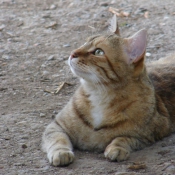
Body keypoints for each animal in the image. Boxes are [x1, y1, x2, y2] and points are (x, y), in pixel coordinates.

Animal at [42, 15, 175, 167]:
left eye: (98, 52)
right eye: (85, 42)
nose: (72, 53)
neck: (100, 95)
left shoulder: (149, 135)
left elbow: (125, 138)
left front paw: (117, 147)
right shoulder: (56, 126)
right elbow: (58, 139)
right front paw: (61, 152)